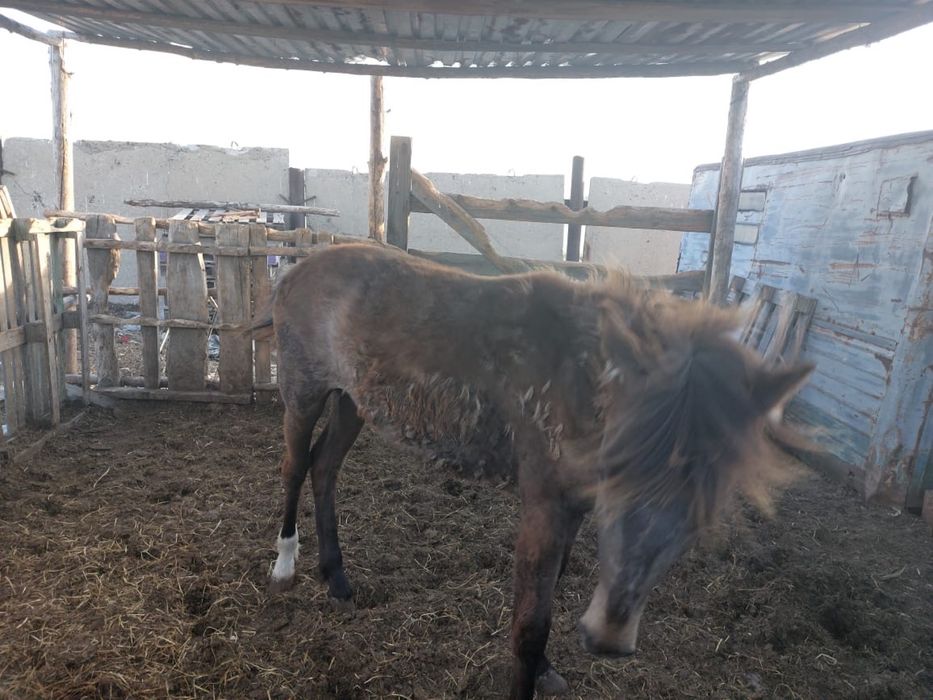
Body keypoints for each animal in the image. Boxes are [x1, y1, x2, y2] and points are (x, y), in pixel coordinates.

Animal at [252, 243, 812, 699]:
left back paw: (338, 581)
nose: (608, 637)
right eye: (619, 467)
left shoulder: (575, 507)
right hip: (303, 392)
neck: (583, 380)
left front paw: (546, 669)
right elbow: (529, 625)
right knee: (295, 468)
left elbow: (553, 590)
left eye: (704, 507)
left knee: (325, 469)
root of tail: (293, 272)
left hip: (352, 402)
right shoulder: (543, 503)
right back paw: (284, 565)